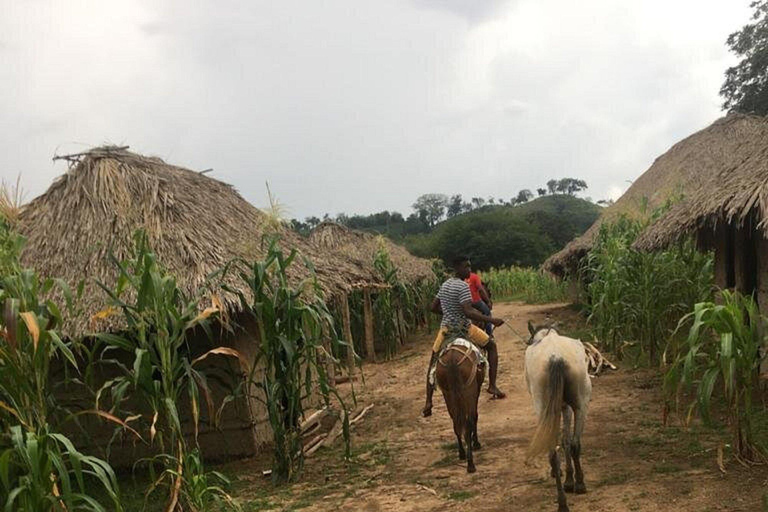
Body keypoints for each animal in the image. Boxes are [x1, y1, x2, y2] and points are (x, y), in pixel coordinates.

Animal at [436, 342, 484, 474]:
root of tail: (452, 360)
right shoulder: (475, 391)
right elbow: (475, 417)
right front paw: (476, 443)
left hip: (448, 394)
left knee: (456, 424)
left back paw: (462, 453)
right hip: (468, 392)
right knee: (468, 423)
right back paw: (470, 464)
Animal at [524, 322, 592, 510]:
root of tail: (555, 358)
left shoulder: (562, 407)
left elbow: (564, 440)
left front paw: (567, 480)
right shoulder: (565, 407)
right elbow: (566, 440)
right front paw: (570, 481)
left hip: (547, 408)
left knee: (561, 448)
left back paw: (564, 499)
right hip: (581, 405)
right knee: (574, 443)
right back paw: (577, 487)